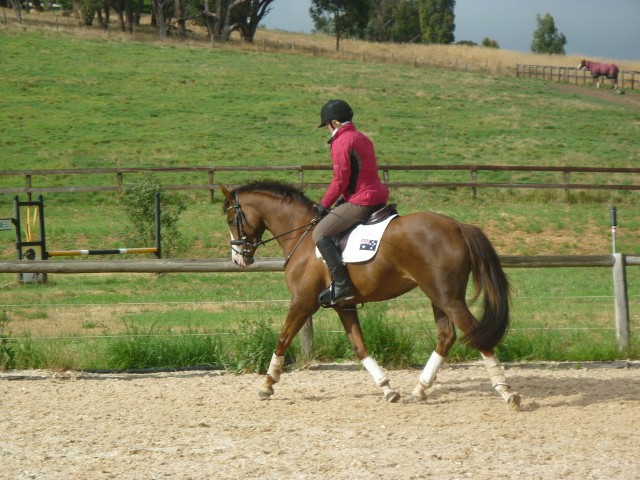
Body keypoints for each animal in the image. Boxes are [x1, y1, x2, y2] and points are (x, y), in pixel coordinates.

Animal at [222, 180, 524, 408]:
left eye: (231, 218)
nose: (238, 259)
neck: (303, 236)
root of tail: (459, 226)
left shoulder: (303, 301)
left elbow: (283, 339)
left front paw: (267, 384)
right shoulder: (343, 305)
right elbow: (359, 346)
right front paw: (387, 388)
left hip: (447, 297)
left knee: (474, 333)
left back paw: (506, 391)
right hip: (438, 295)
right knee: (446, 336)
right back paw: (420, 390)